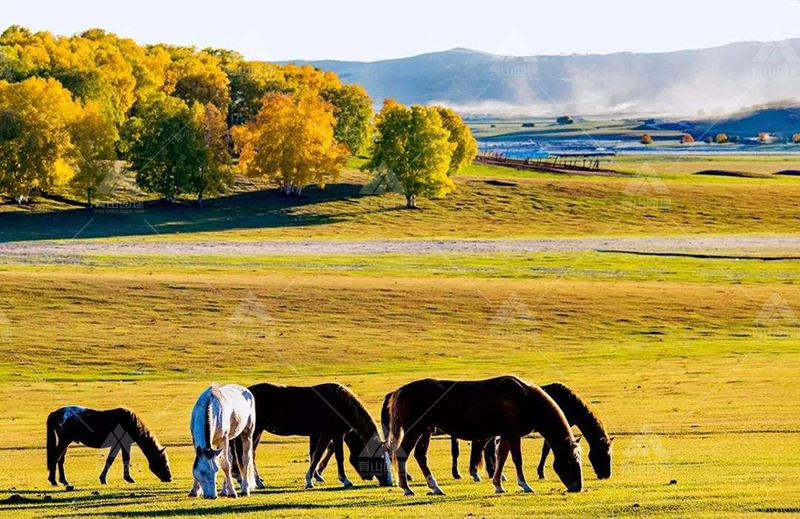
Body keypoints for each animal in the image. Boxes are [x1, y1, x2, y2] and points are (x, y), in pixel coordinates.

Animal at [231, 384, 394, 490]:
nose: (389, 482)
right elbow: (334, 456)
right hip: (256, 430)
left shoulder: (324, 434)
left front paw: (314, 477)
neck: (340, 405)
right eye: (379, 459)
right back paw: (255, 481)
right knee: (249, 454)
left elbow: (317, 454)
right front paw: (343, 479)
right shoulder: (334, 434)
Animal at [388, 376, 580, 498]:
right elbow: (517, 460)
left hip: (425, 430)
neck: (525, 398)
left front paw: (498, 485)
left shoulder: (505, 435)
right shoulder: (513, 435)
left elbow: (501, 459)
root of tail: (401, 390)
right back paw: (406, 489)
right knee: (403, 454)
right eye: (569, 460)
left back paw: (435, 487)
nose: (578, 487)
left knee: (420, 455)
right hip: (415, 430)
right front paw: (524, 485)